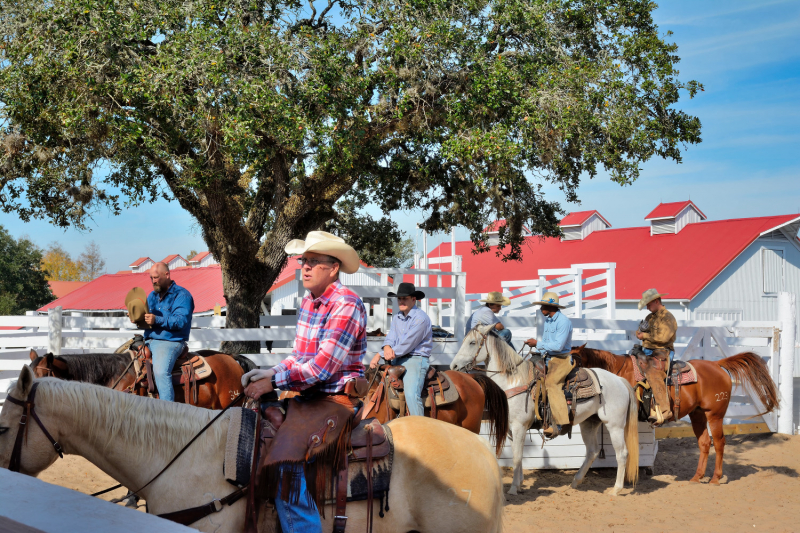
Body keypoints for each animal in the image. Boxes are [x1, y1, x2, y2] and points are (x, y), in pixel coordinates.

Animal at [450, 324, 636, 494]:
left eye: (472, 342)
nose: (453, 366)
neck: (514, 380)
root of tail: (620, 380)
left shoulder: (519, 426)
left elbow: (517, 456)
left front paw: (513, 488)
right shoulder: (511, 428)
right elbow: (518, 454)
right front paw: (519, 483)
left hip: (615, 425)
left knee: (622, 453)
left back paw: (616, 489)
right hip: (589, 423)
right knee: (592, 451)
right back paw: (575, 483)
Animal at [568, 342, 780, 484]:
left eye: (573, 363)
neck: (616, 373)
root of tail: (717, 364)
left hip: (715, 414)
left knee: (719, 443)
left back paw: (715, 478)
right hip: (697, 414)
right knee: (704, 442)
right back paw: (697, 477)